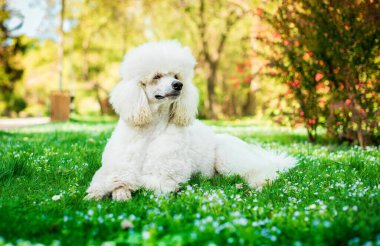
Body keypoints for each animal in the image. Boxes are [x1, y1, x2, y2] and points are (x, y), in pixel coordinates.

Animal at [86, 40, 296, 201]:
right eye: (156, 76)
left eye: (176, 75)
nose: (178, 85)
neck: (150, 132)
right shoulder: (116, 163)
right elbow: (103, 177)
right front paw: (99, 192)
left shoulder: (166, 177)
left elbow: (138, 179)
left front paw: (118, 186)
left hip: (228, 156)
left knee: (264, 173)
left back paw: (257, 185)